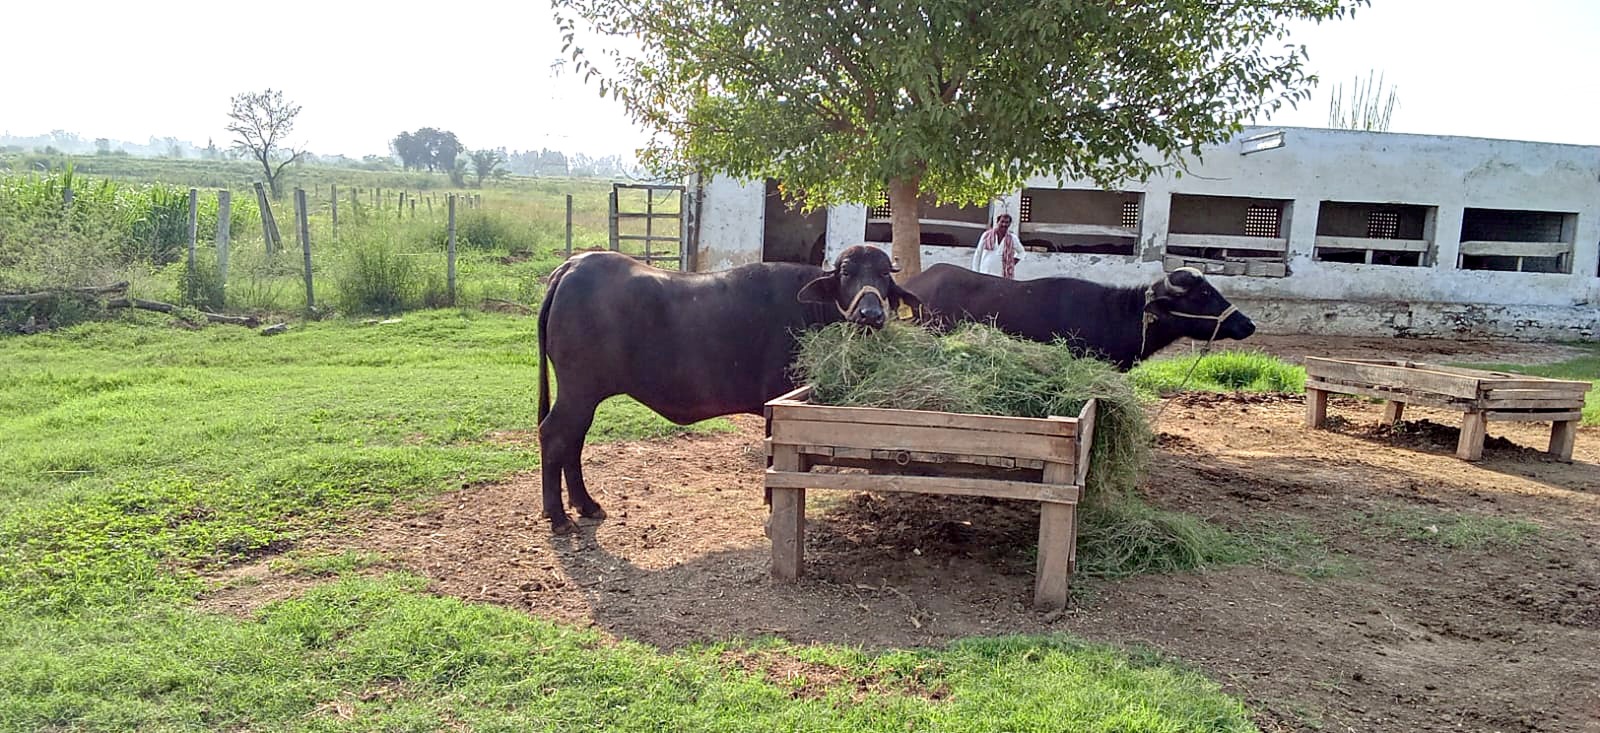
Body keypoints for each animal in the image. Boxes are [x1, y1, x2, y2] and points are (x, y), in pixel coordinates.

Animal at [536, 245, 918, 534]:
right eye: (846, 273)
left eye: (884, 275)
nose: (870, 314)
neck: (811, 309)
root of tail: (571, 266)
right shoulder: (778, 405)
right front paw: (771, 504)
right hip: (578, 391)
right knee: (554, 435)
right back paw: (559, 517)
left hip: (582, 396)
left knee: (573, 440)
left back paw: (586, 504)